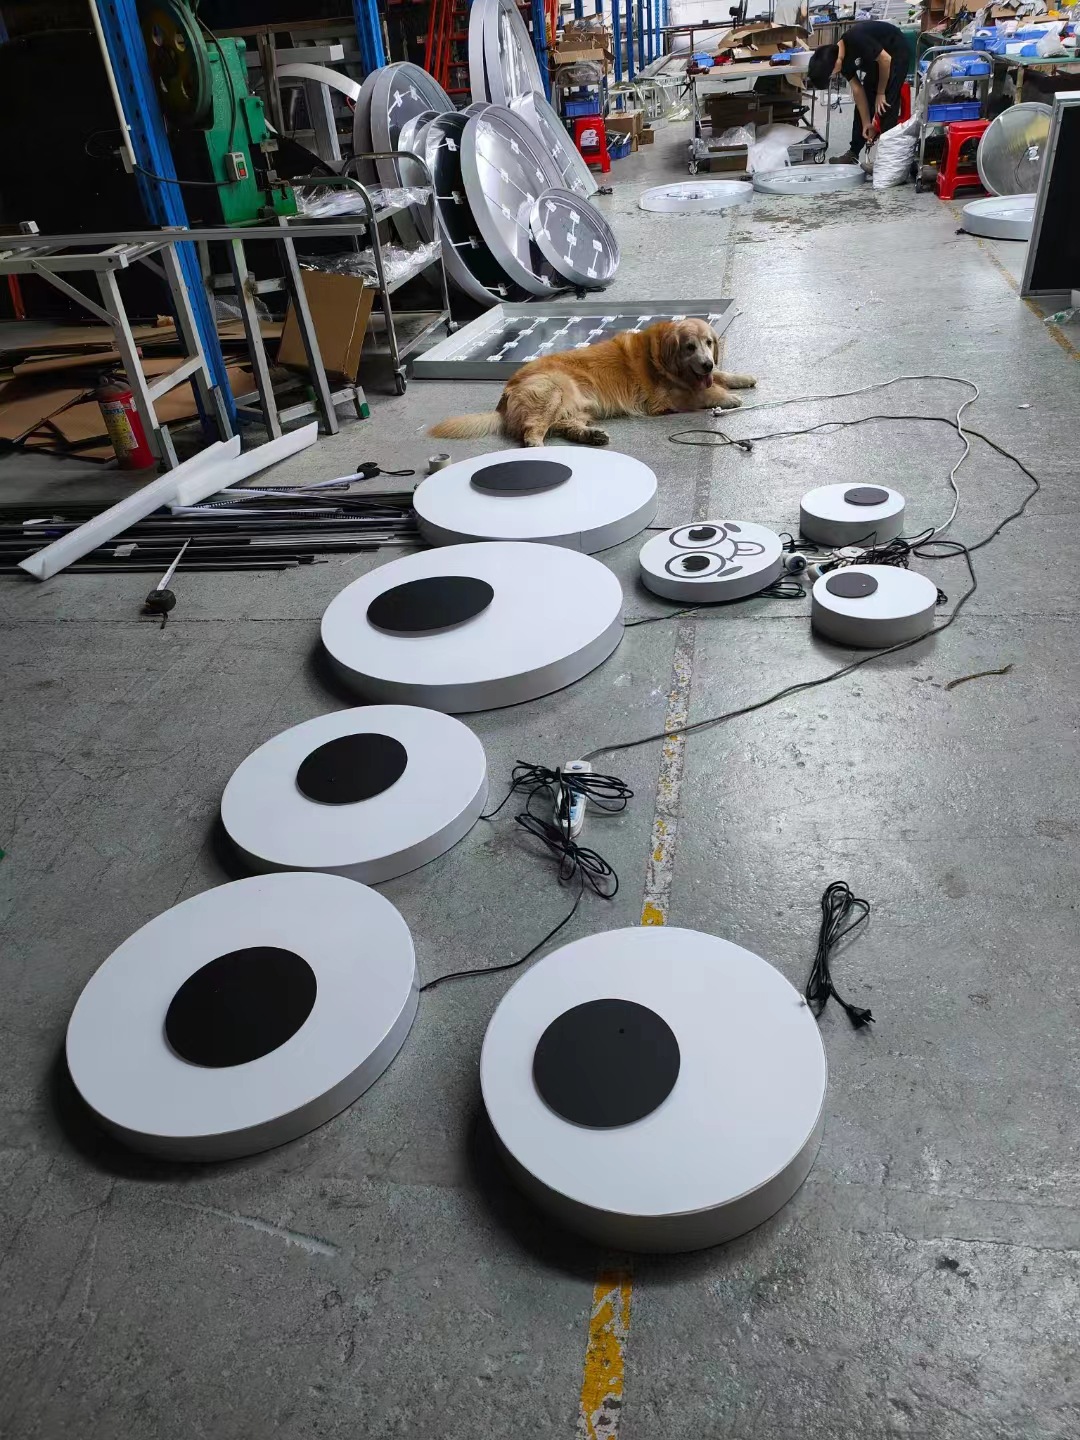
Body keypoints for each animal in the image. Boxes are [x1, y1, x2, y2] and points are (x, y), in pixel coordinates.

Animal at [429, 318, 756, 448]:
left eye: (709, 343)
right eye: (689, 347)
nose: (706, 363)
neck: (664, 356)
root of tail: (504, 395)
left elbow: (721, 376)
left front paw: (742, 378)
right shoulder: (667, 399)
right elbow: (702, 393)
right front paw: (726, 397)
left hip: (575, 405)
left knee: (563, 425)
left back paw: (592, 436)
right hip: (555, 389)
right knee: (533, 430)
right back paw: (538, 446)